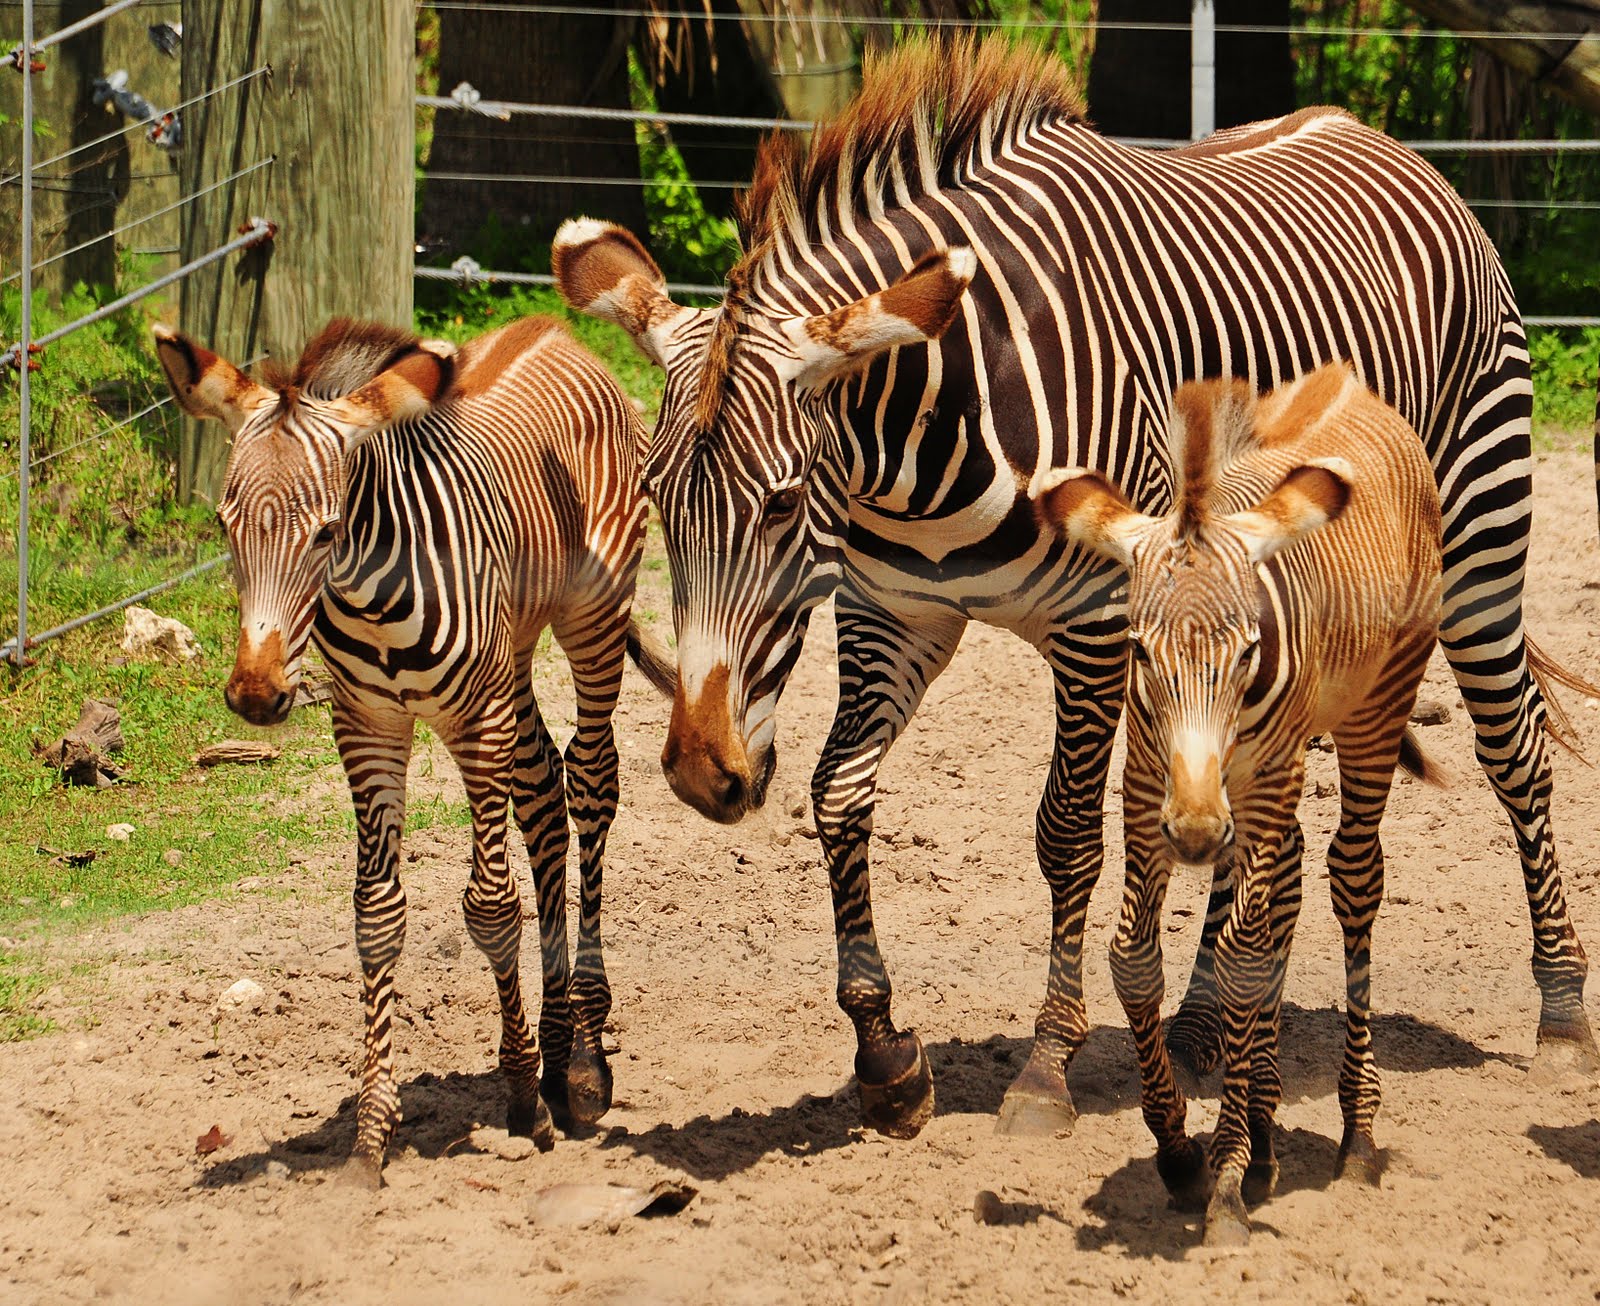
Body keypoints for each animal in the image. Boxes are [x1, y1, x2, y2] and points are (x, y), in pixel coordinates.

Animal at [152, 316, 672, 1184]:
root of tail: (553, 328)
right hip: (512, 657)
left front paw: (522, 1100)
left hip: (591, 619)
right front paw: (372, 1135)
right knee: (543, 791)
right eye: (225, 525)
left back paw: (583, 1066)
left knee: (592, 780)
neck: (369, 598)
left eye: (326, 531)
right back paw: (560, 1046)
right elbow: (377, 913)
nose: (256, 696)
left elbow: (489, 906)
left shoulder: (475, 721)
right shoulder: (366, 725)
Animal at [556, 35, 1593, 1139]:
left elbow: (1064, 833)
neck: (927, 438)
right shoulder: (895, 613)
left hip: (1479, 531)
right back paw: (1204, 1017)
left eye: (784, 505)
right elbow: (839, 795)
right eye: (655, 496)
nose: (700, 775)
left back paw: (1563, 1015)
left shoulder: (1097, 620)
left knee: (1517, 750)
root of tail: (1380, 141)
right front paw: (886, 1056)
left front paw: (1045, 1066)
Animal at [1030, 364, 1446, 1241]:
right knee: (1286, 885)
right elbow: (1134, 957)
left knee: (1351, 879)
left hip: (1372, 711)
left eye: (1249, 647)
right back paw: (1263, 1129)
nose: (1195, 833)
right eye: (1137, 650)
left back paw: (1355, 1134)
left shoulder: (1258, 780)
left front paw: (1221, 1176)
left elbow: (1242, 962)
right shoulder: (1148, 778)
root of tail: (1350, 386)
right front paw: (1182, 1150)